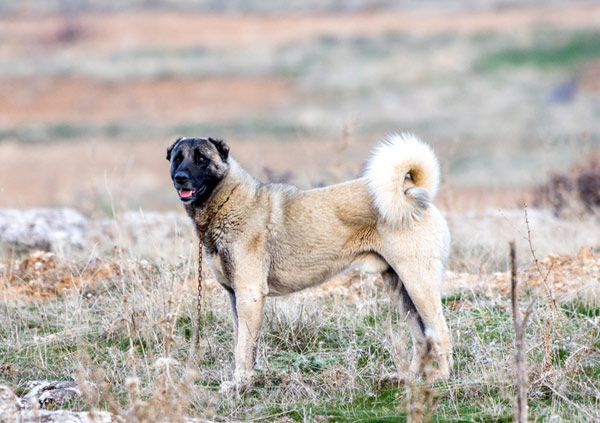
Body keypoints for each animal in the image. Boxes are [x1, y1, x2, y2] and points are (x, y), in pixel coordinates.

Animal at [166, 134, 452, 390]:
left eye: (201, 158)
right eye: (177, 158)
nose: (180, 178)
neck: (227, 202)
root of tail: (410, 191)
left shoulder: (249, 295)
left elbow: (243, 347)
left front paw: (240, 385)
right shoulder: (235, 296)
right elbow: (243, 343)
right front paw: (244, 381)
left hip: (419, 283)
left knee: (440, 331)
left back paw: (443, 378)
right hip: (399, 288)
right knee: (421, 336)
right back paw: (409, 378)